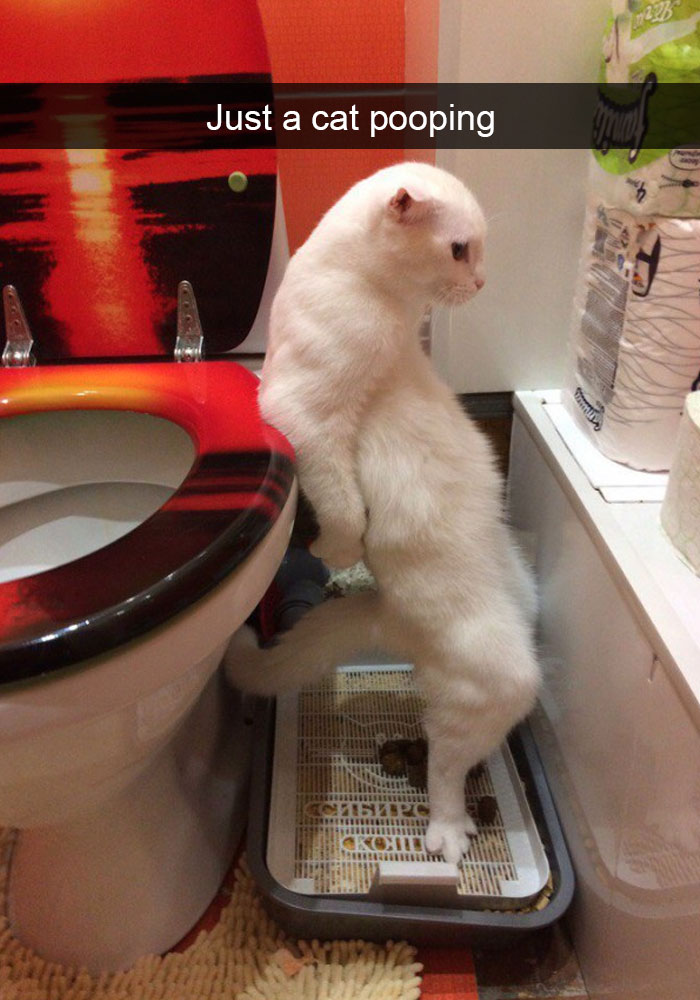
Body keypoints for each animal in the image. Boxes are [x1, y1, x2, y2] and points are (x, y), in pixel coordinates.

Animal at [224, 160, 540, 864]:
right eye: (460, 249)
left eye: (478, 250)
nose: (482, 281)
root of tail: (389, 615)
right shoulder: (305, 420)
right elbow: (342, 505)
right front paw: (336, 551)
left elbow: (344, 502)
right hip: (501, 675)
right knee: (446, 764)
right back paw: (449, 831)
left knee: (448, 755)